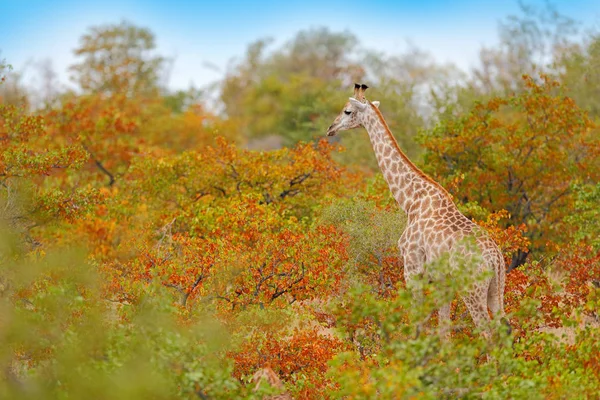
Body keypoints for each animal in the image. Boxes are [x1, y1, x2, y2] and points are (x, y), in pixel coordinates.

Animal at [328, 83, 506, 336]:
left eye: (347, 111)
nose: (330, 129)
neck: (410, 201)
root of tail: (495, 259)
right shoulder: (441, 280)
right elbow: (443, 331)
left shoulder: (412, 268)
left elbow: (416, 322)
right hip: (496, 290)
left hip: (472, 289)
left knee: (487, 333)